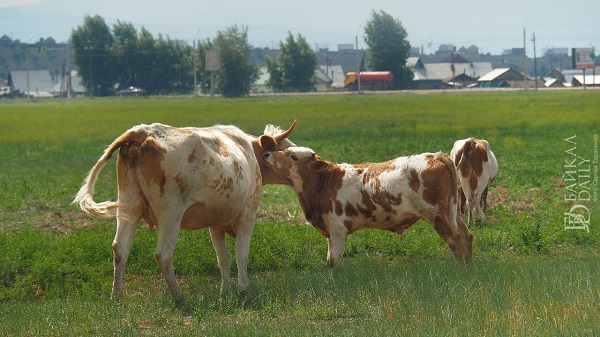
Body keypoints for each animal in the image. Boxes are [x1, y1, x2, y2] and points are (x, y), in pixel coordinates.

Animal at [74, 120, 296, 302]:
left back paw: (117, 296)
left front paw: (225, 292)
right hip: (171, 213)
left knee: (120, 249)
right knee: (163, 254)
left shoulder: (216, 223)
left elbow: (224, 258)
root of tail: (144, 131)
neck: (248, 150)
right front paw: (244, 291)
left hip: (129, 206)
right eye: (286, 149)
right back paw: (179, 298)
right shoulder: (247, 216)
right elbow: (242, 255)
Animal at [262, 146, 474, 266]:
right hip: (453, 212)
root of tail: (434, 156)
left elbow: (334, 260)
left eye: (293, 156)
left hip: (435, 214)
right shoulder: (330, 230)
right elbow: (330, 259)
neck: (325, 182)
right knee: (466, 236)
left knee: (455, 239)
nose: (266, 154)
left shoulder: (337, 228)